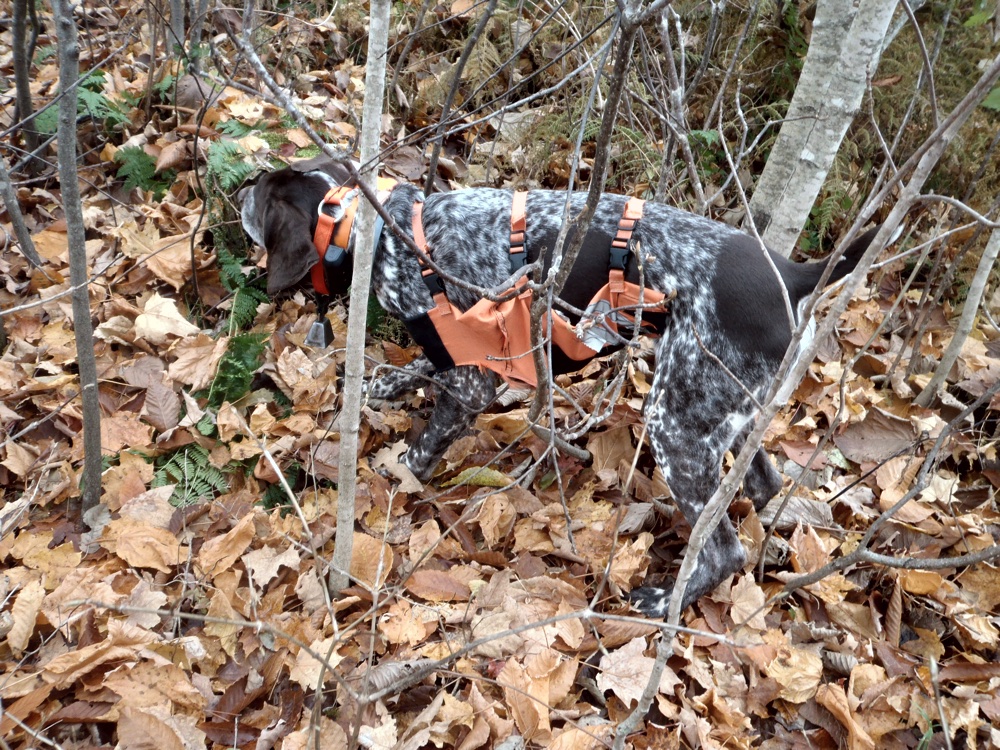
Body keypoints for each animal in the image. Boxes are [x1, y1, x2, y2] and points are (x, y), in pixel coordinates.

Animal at [238, 157, 880, 616]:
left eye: (263, 192)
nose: (240, 187)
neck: (389, 233)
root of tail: (793, 275)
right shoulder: (460, 353)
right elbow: (422, 365)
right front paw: (389, 382)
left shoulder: (473, 380)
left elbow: (422, 446)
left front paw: (395, 478)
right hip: (723, 410)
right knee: (762, 484)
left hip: (676, 423)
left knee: (724, 547)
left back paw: (663, 599)